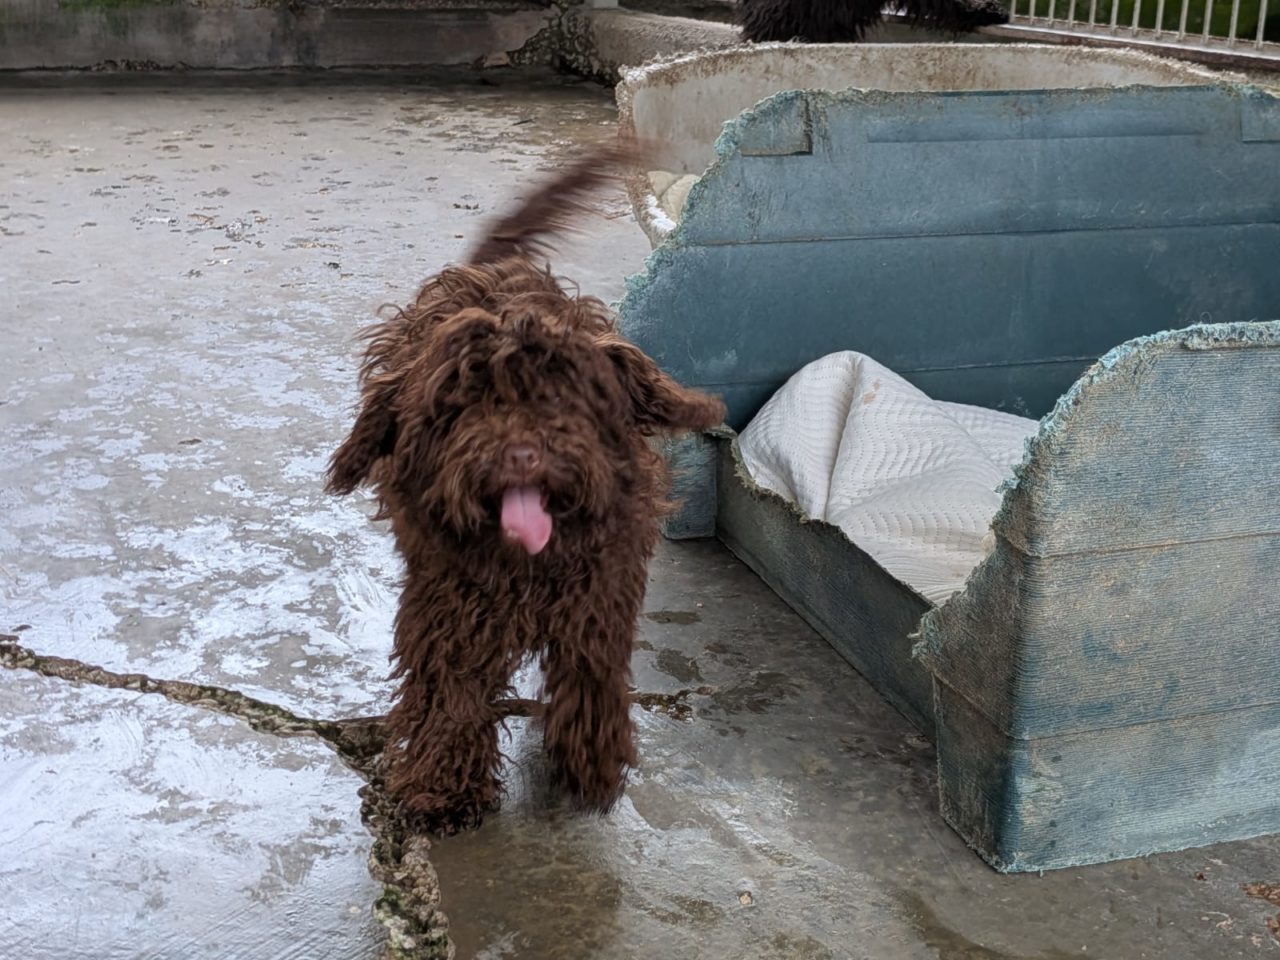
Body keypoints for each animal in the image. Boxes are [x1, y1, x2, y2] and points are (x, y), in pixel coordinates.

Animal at [325, 141, 726, 832]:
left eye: (561, 393)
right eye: (463, 401)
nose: (520, 453)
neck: (530, 566)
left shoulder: (600, 597)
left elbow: (591, 673)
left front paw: (590, 766)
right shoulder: (450, 604)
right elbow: (451, 688)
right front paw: (444, 789)